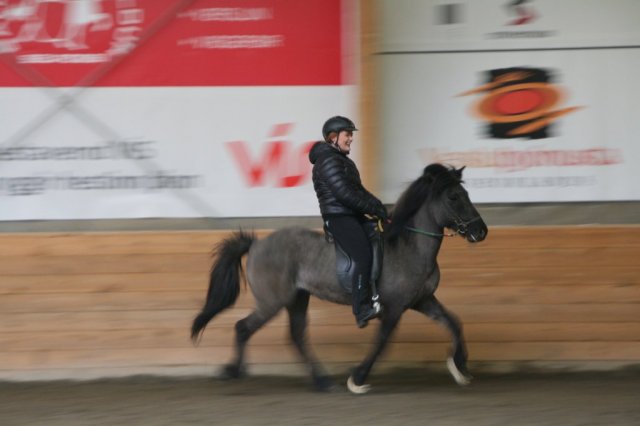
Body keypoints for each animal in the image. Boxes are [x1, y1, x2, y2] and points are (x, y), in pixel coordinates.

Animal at [192, 162, 488, 392]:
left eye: (465, 193)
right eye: (453, 197)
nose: (481, 231)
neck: (409, 245)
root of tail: (256, 244)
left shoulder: (422, 300)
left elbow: (453, 323)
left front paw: (460, 366)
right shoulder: (394, 307)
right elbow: (382, 341)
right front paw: (357, 378)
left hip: (297, 298)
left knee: (296, 335)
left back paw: (322, 382)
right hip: (272, 302)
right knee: (243, 327)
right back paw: (232, 372)